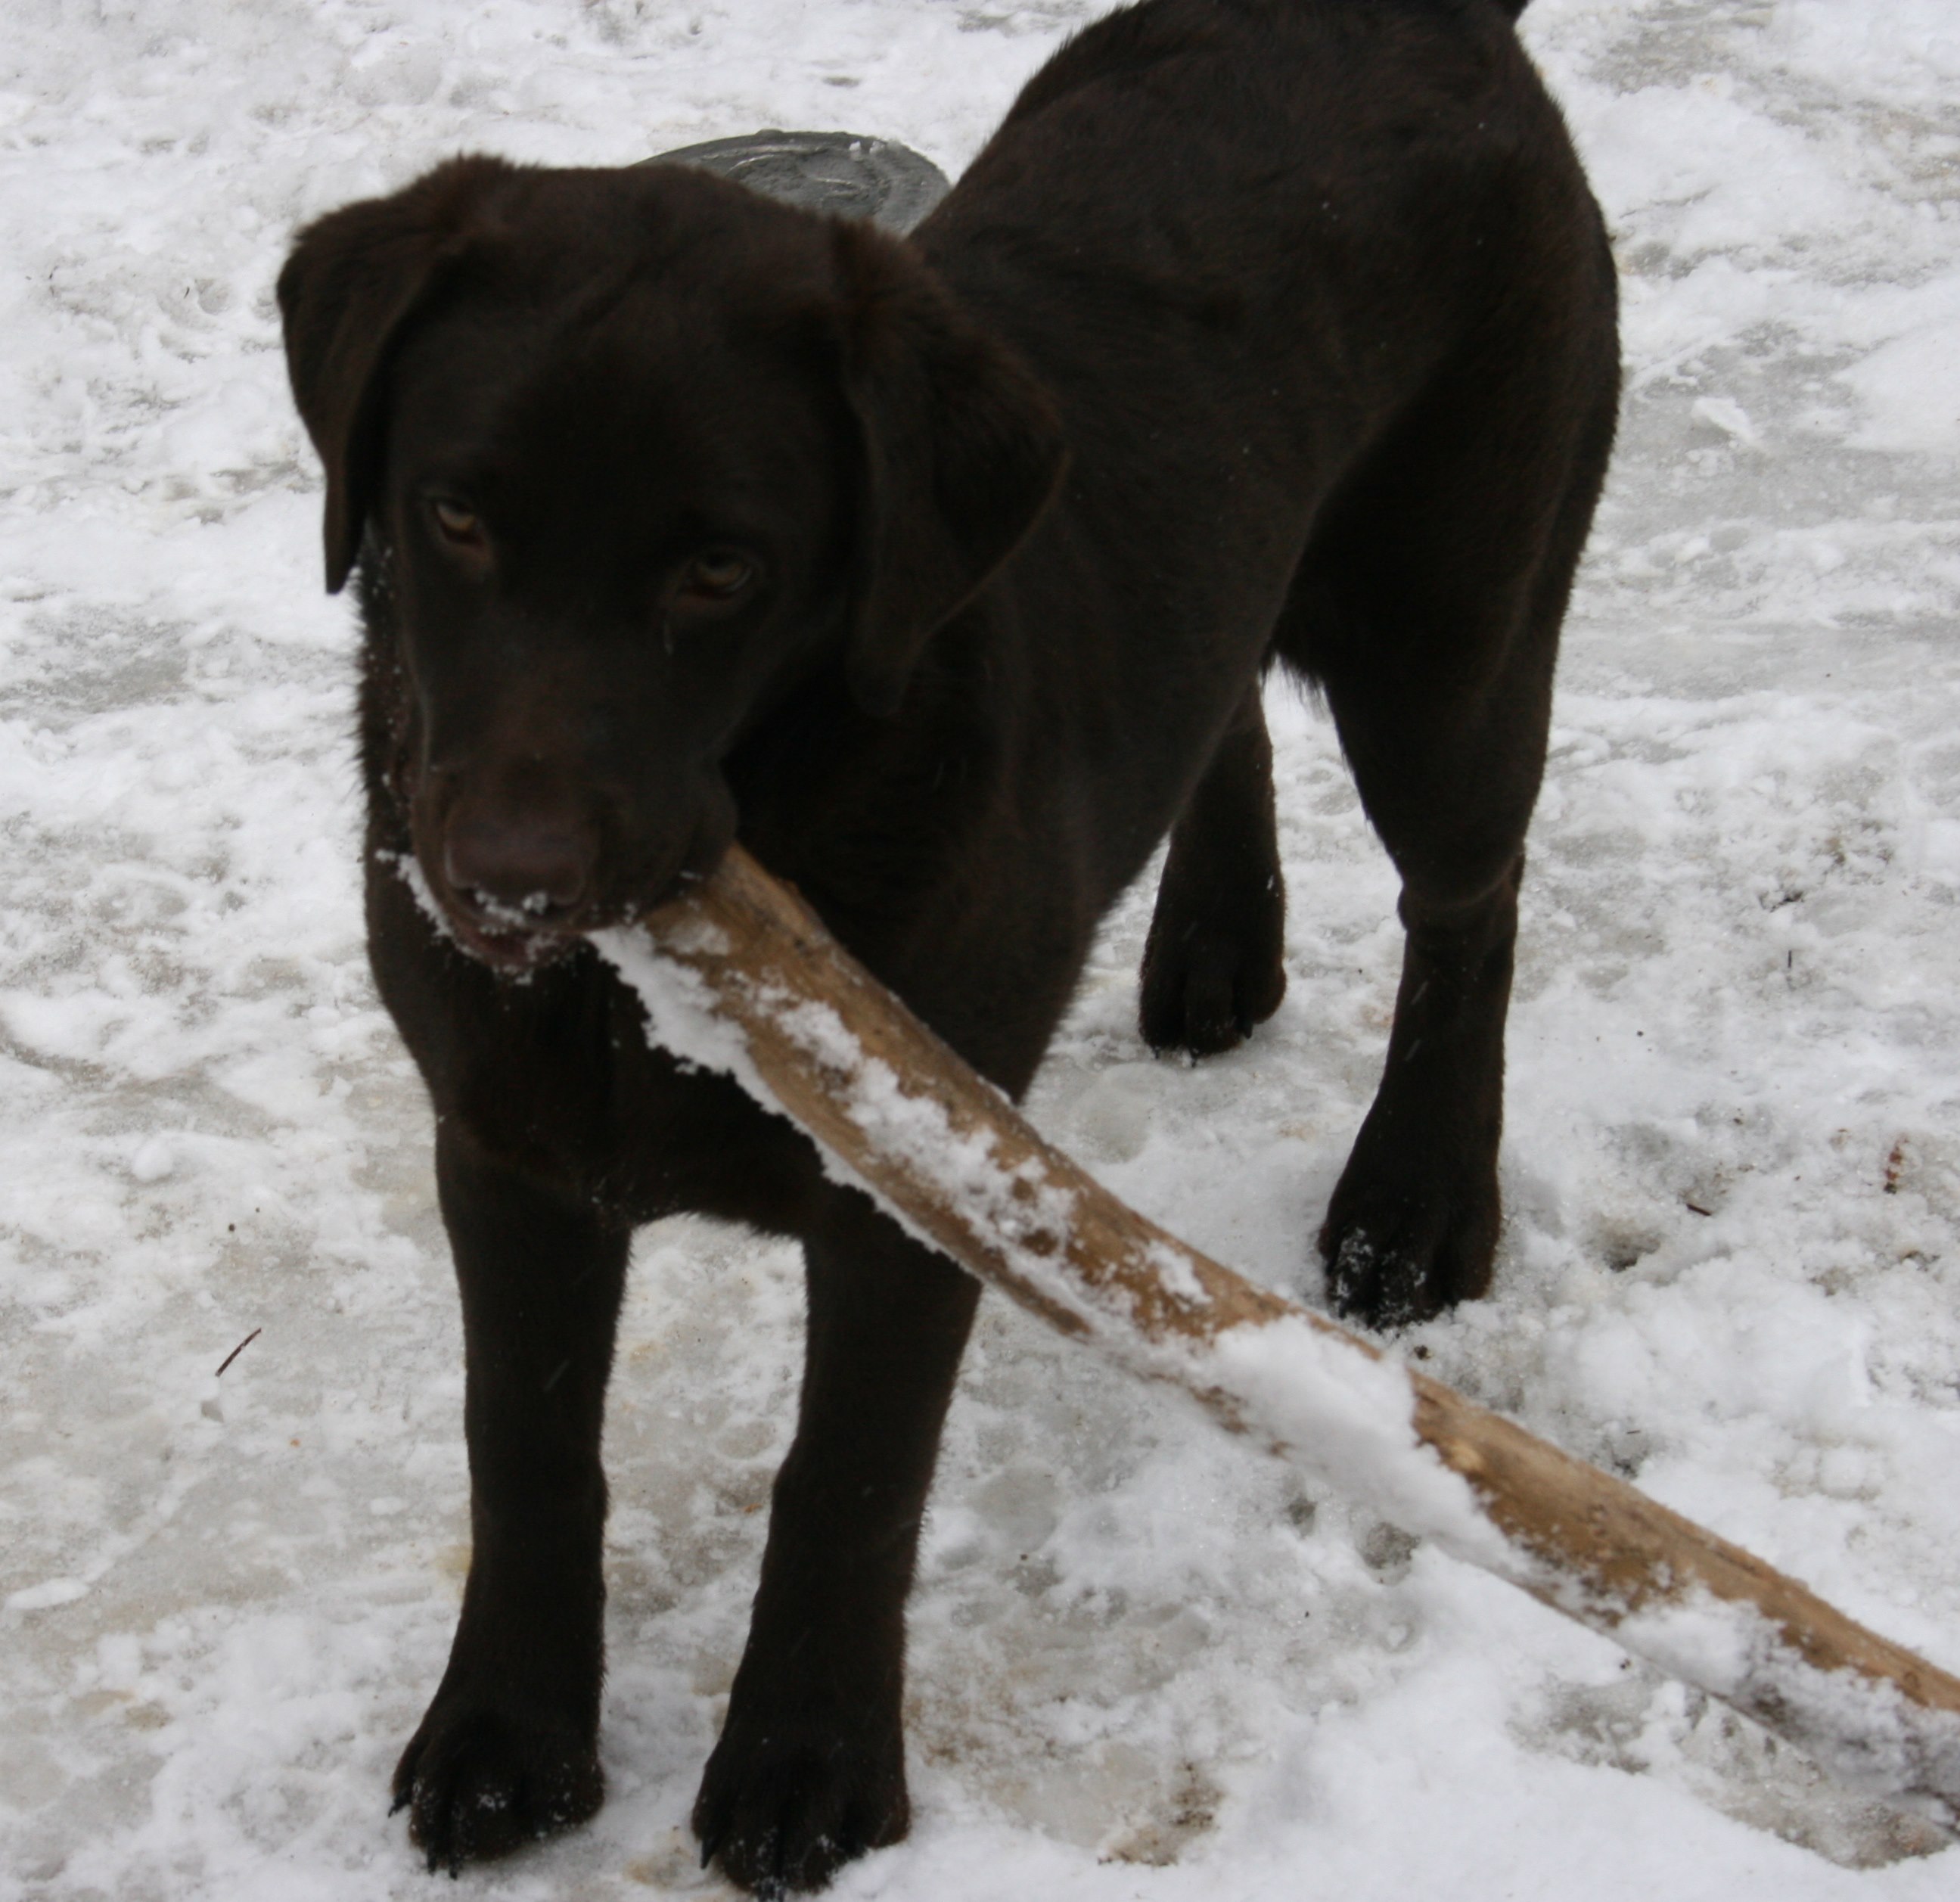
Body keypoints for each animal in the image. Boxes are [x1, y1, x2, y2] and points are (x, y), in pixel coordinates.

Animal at [280, 0, 1623, 1882]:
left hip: (1453, 628)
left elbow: (843, 1479)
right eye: (454, 517)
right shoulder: (506, 1143)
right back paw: (1214, 949)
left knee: (1464, 906)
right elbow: (524, 1450)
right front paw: (504, 1740)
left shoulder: (915, 1189)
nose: (506, 887)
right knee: (1224, 698)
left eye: (719, 568)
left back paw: (1414, 1203)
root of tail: (1426, 21)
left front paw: (805, 1769)